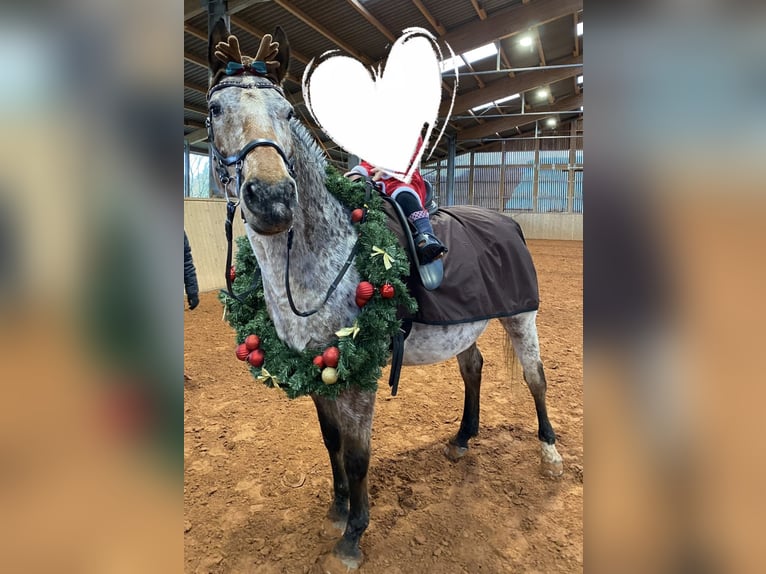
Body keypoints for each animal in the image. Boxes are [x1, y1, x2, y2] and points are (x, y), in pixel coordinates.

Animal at [206, 21, 564, 570]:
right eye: (215, 109)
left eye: (287, 112)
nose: (271, 199)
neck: (323, 254)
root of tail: (507, 221)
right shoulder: (317, 365)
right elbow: (330, 441)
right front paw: (336, 509)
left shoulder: (359, 374)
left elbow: (357, 455)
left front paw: (354, 534)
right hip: (465, 329)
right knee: (473, 369)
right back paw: (463, 438)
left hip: (522, 317)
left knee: (535, 378)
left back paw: (549, 452)